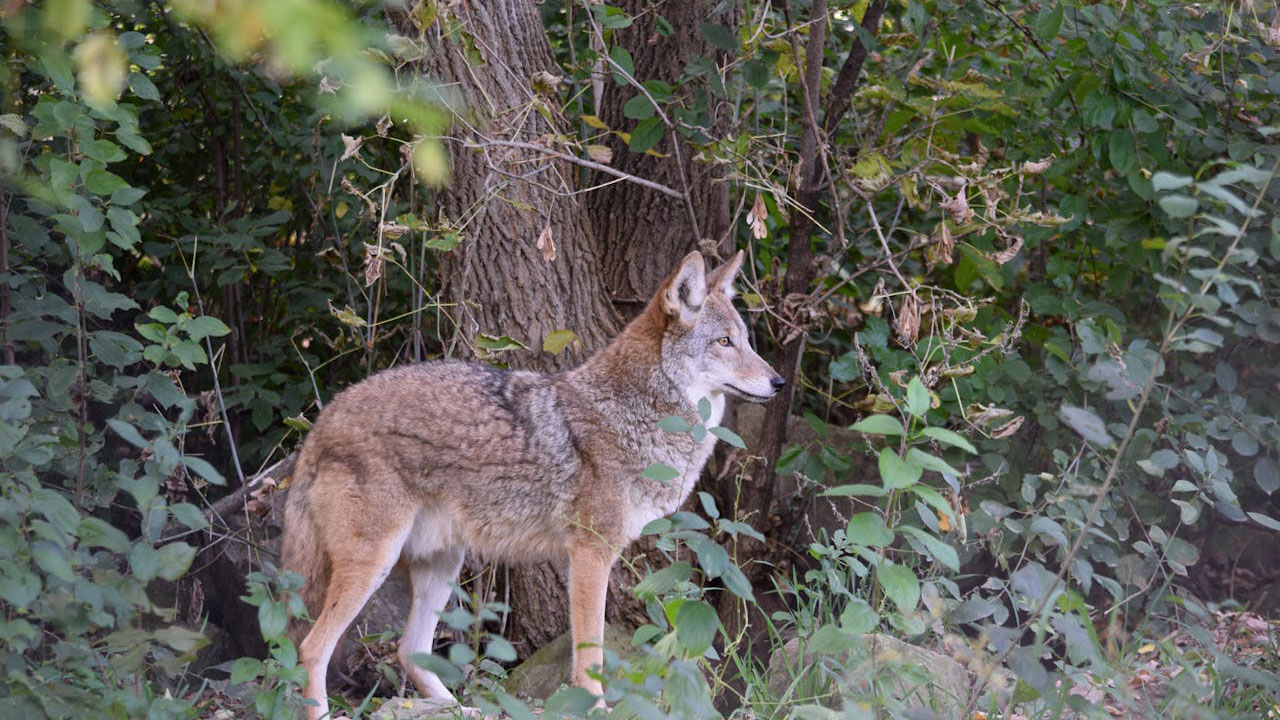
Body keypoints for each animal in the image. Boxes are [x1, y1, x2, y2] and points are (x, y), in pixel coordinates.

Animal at [281, 251, 783, 719]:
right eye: (724, 342)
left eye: (746, 341)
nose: (779, 382)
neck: (634, 412)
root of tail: (323, 421)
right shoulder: (591, 554)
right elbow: (590, 655)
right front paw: (596, 708)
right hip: (375, 564)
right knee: (311, 648)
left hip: (441, 566)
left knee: (409, 651)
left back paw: (464, 709)